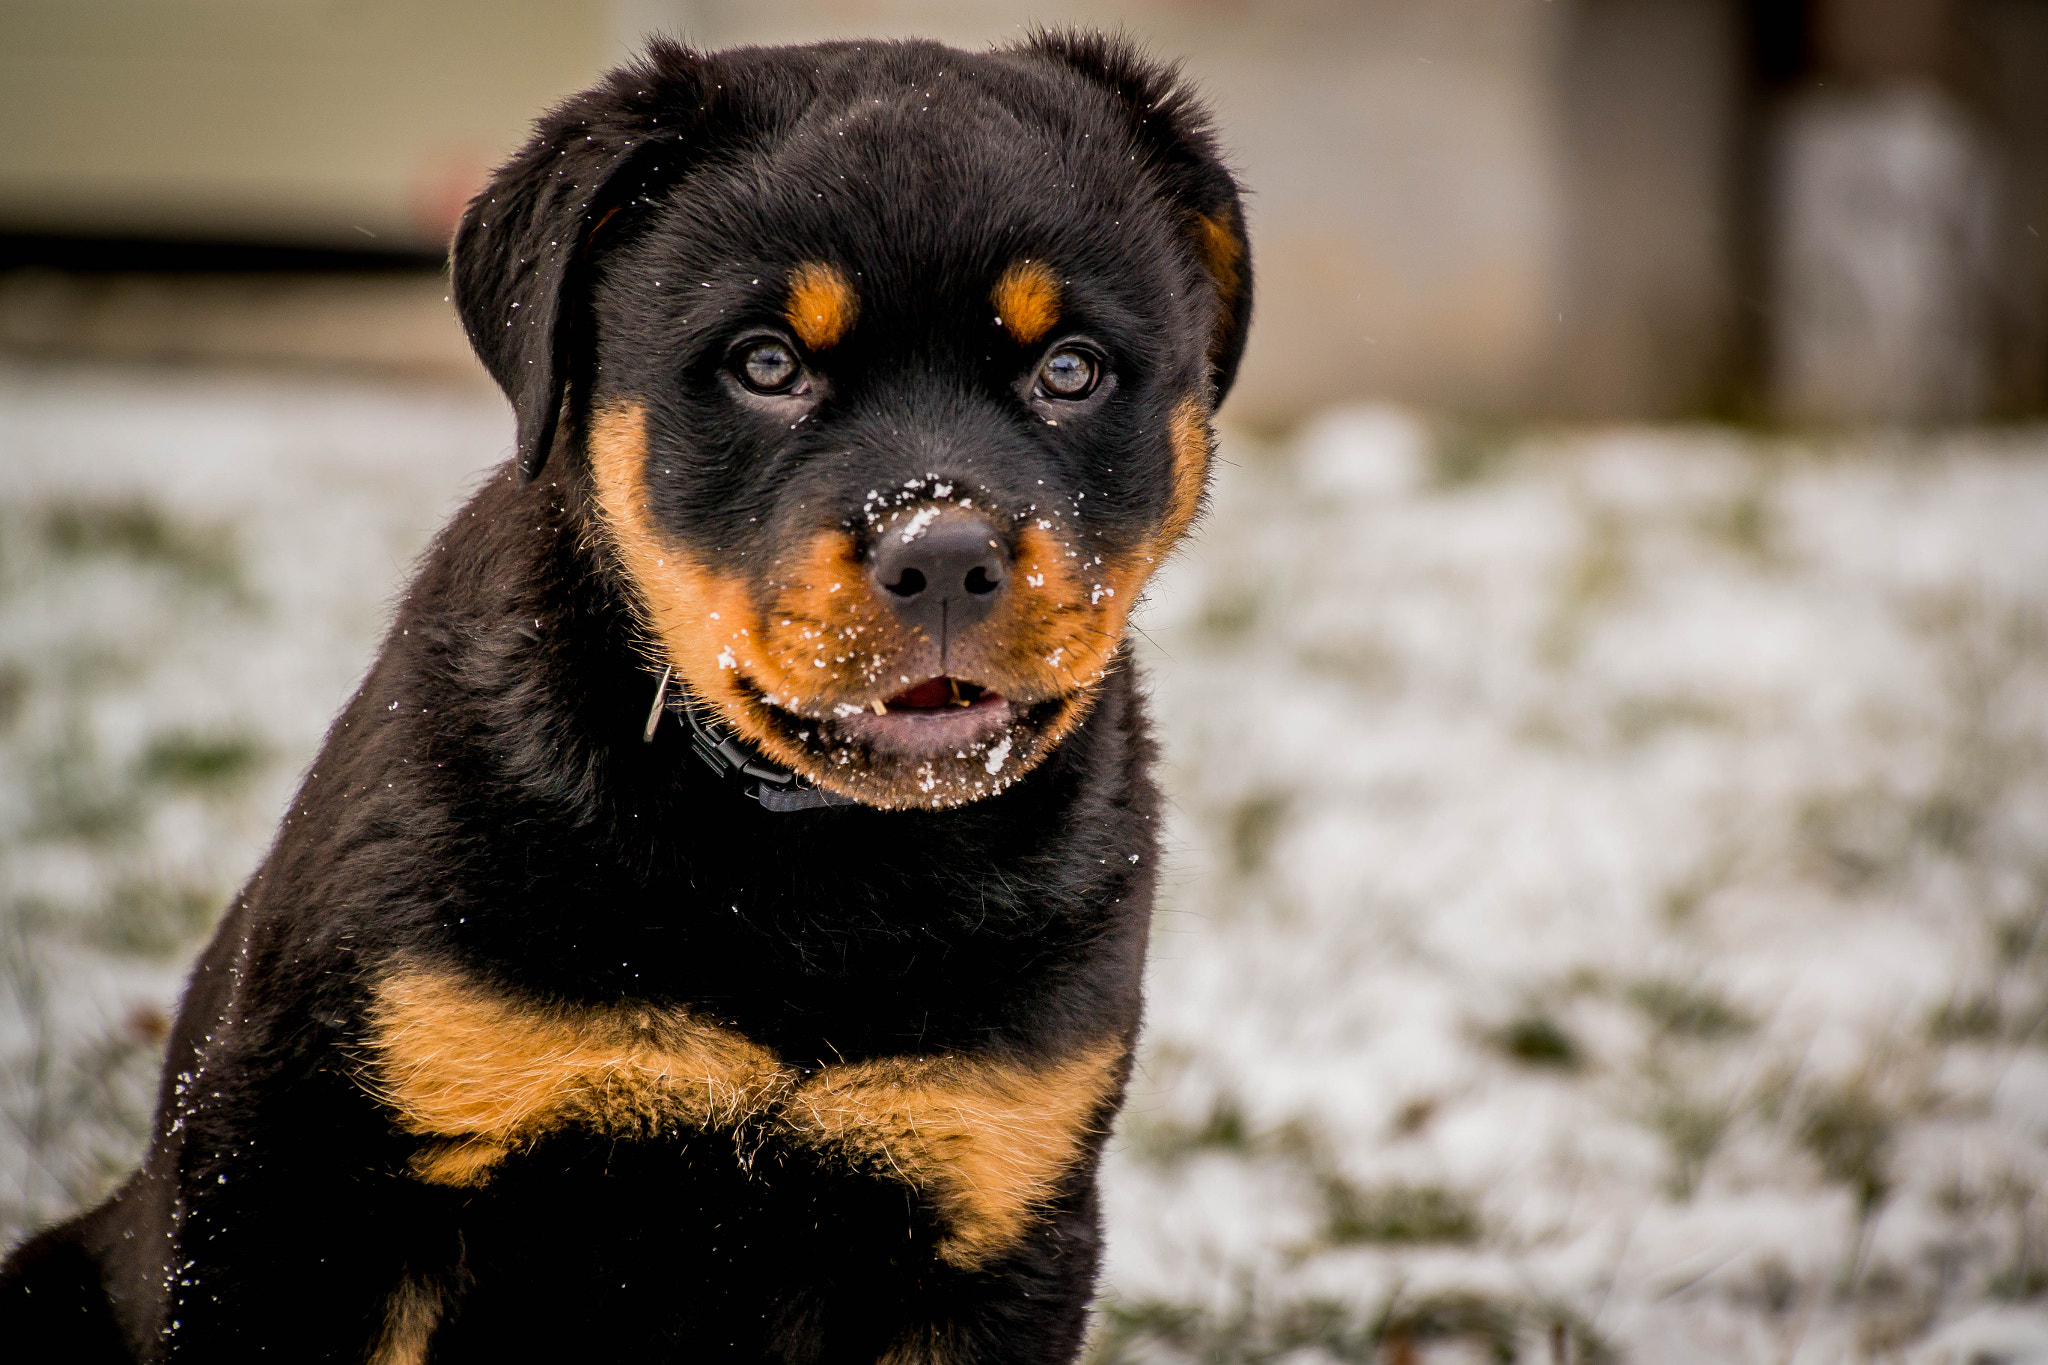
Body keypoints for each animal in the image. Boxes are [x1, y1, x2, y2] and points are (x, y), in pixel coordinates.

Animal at [0, 34, 1245, 1365]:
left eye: (1070, 370)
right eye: (766, 364)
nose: (945, 554)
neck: (806, 871)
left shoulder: (990, 1207)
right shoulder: (316, 1182)